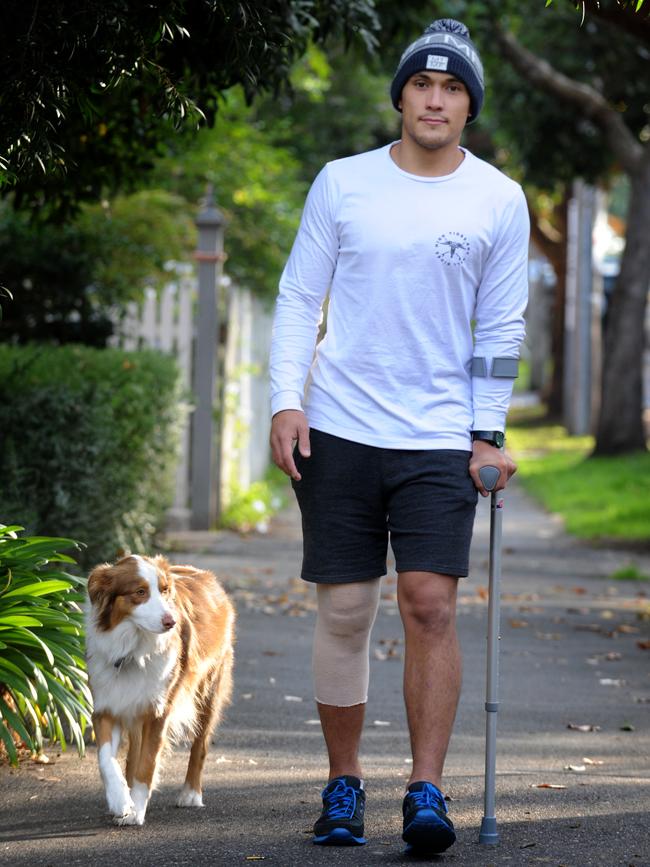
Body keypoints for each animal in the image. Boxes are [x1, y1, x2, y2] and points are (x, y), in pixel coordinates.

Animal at [85, 556, 234, 828]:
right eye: (140, 592)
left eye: (165, 591)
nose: (170, 622)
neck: (134, 650)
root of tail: (207, 576)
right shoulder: (107, 707)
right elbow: (105, 760)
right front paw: (121, 801)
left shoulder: (158, 712)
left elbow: (147, 764)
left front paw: (136, 811)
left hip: (207, 691)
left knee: (200, 744)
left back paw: (191, 794)